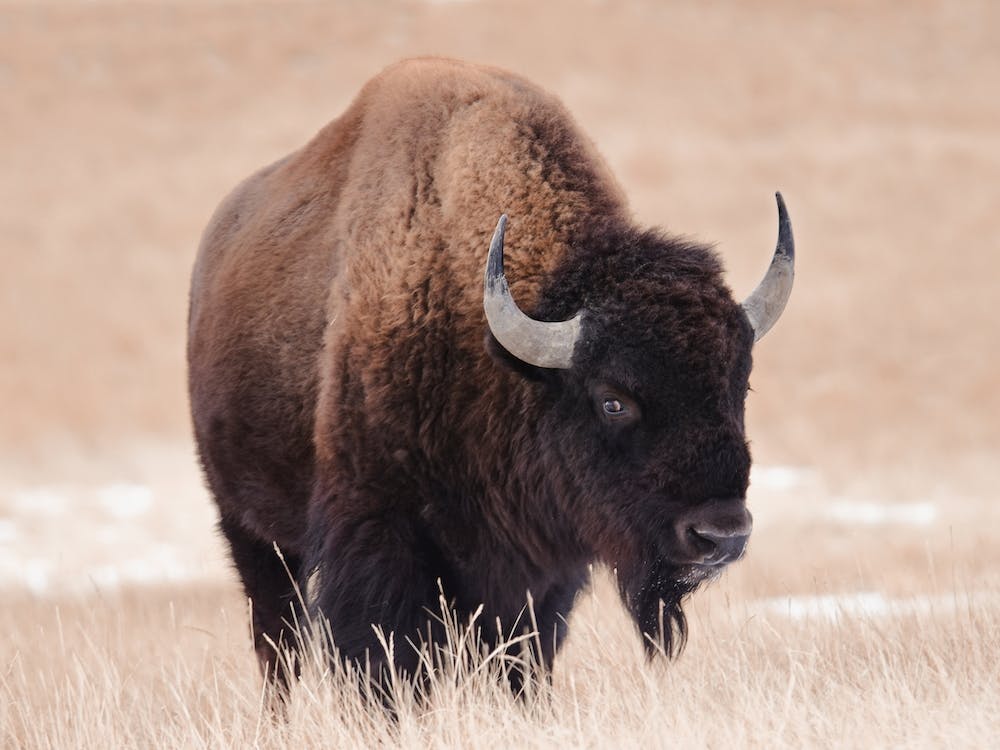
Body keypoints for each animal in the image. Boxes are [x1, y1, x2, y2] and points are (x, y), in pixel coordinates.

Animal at [187, 57, 795, 692]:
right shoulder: (378, 535)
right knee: (277, 640)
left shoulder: (541, 573)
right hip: (252, 533)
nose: (721, 535)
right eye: (613, 400)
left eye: (739, 385)